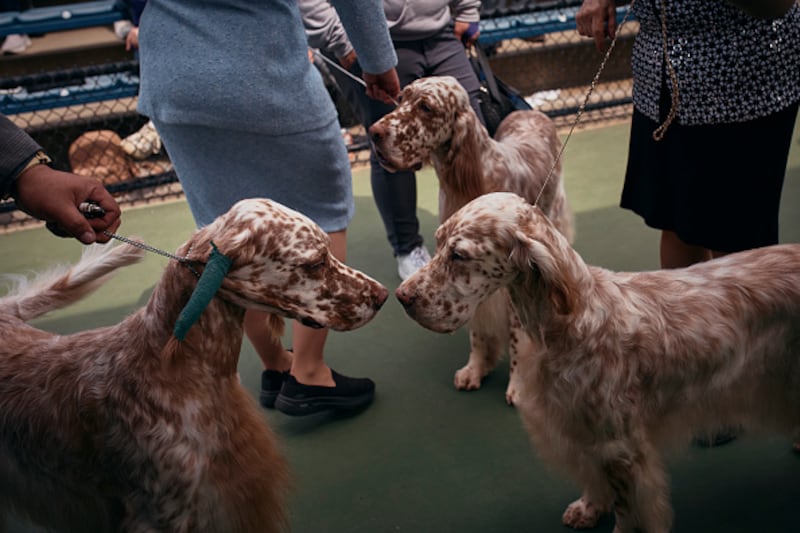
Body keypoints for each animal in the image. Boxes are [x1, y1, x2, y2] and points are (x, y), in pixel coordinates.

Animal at [368, 72, 576, 402]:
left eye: (426, 107)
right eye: (401, 99)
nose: (374, 133)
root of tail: (528, 111)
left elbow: (517, 338)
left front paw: (518, 385)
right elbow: (477, 332)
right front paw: (475, 369)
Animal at [396, 191, 800, 532]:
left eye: (459, 255)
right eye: (437, 243)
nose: (402, 297)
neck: (572, 321)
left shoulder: (619, 447)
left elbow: (627, 508)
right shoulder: (576, 430)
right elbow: (593, 480)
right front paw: (588, 508)